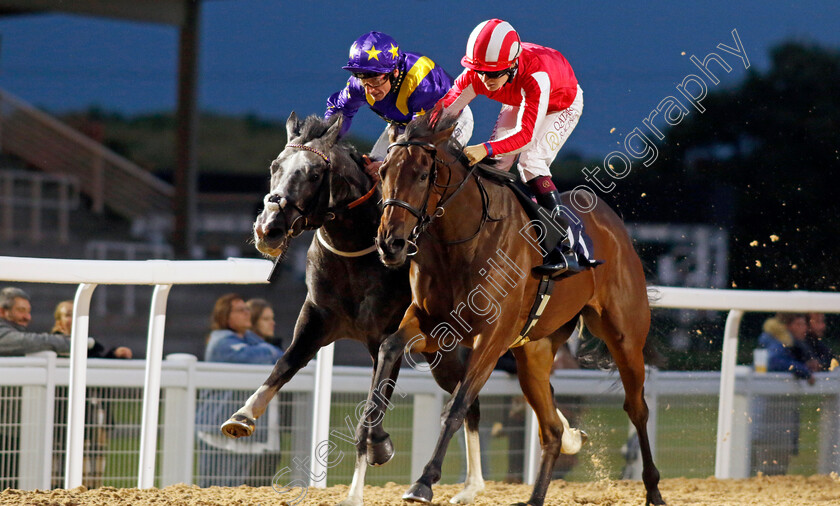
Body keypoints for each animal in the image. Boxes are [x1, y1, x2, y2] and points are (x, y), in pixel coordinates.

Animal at [221, 113, 486, 506]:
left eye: (314, 174)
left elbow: (376, 402)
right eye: (274, 167)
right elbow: (285, 363)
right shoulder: (316, 317)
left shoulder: (387, 335)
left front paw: (375, 454)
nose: (268, 229)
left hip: (448, 349)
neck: (353, 248)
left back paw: (475, 483)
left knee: (469, 400)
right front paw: (243, 415)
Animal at [370, 114, 668, 506]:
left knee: (637, 409)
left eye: (422, 175)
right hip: (534, 354)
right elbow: (389, 348)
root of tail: (613, 223)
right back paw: (536, 496)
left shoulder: (492, 338)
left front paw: (424, 481)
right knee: (552, 429)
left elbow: (456, 407)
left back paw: (654, 490)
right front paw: (374, 443)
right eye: (383, 171)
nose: (390, 243)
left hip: (625, 338)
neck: (464, 240)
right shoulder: (435, 326)